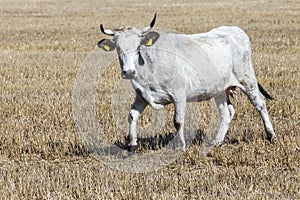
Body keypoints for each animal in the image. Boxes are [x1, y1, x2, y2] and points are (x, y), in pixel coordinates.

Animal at [96, 13, 276, 152]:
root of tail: (235, 30)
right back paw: (216, 142)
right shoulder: (142, 96)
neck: (149, 63)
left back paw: (271, 136)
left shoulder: (179, 95)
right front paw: (132, 144)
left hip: (247, 79)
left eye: (138, 47)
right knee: (227, 113)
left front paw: (181, 146)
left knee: (260, 104)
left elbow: (178, 121)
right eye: (118, 49)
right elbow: (132, 115)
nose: (129, 72)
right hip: (219, 89)